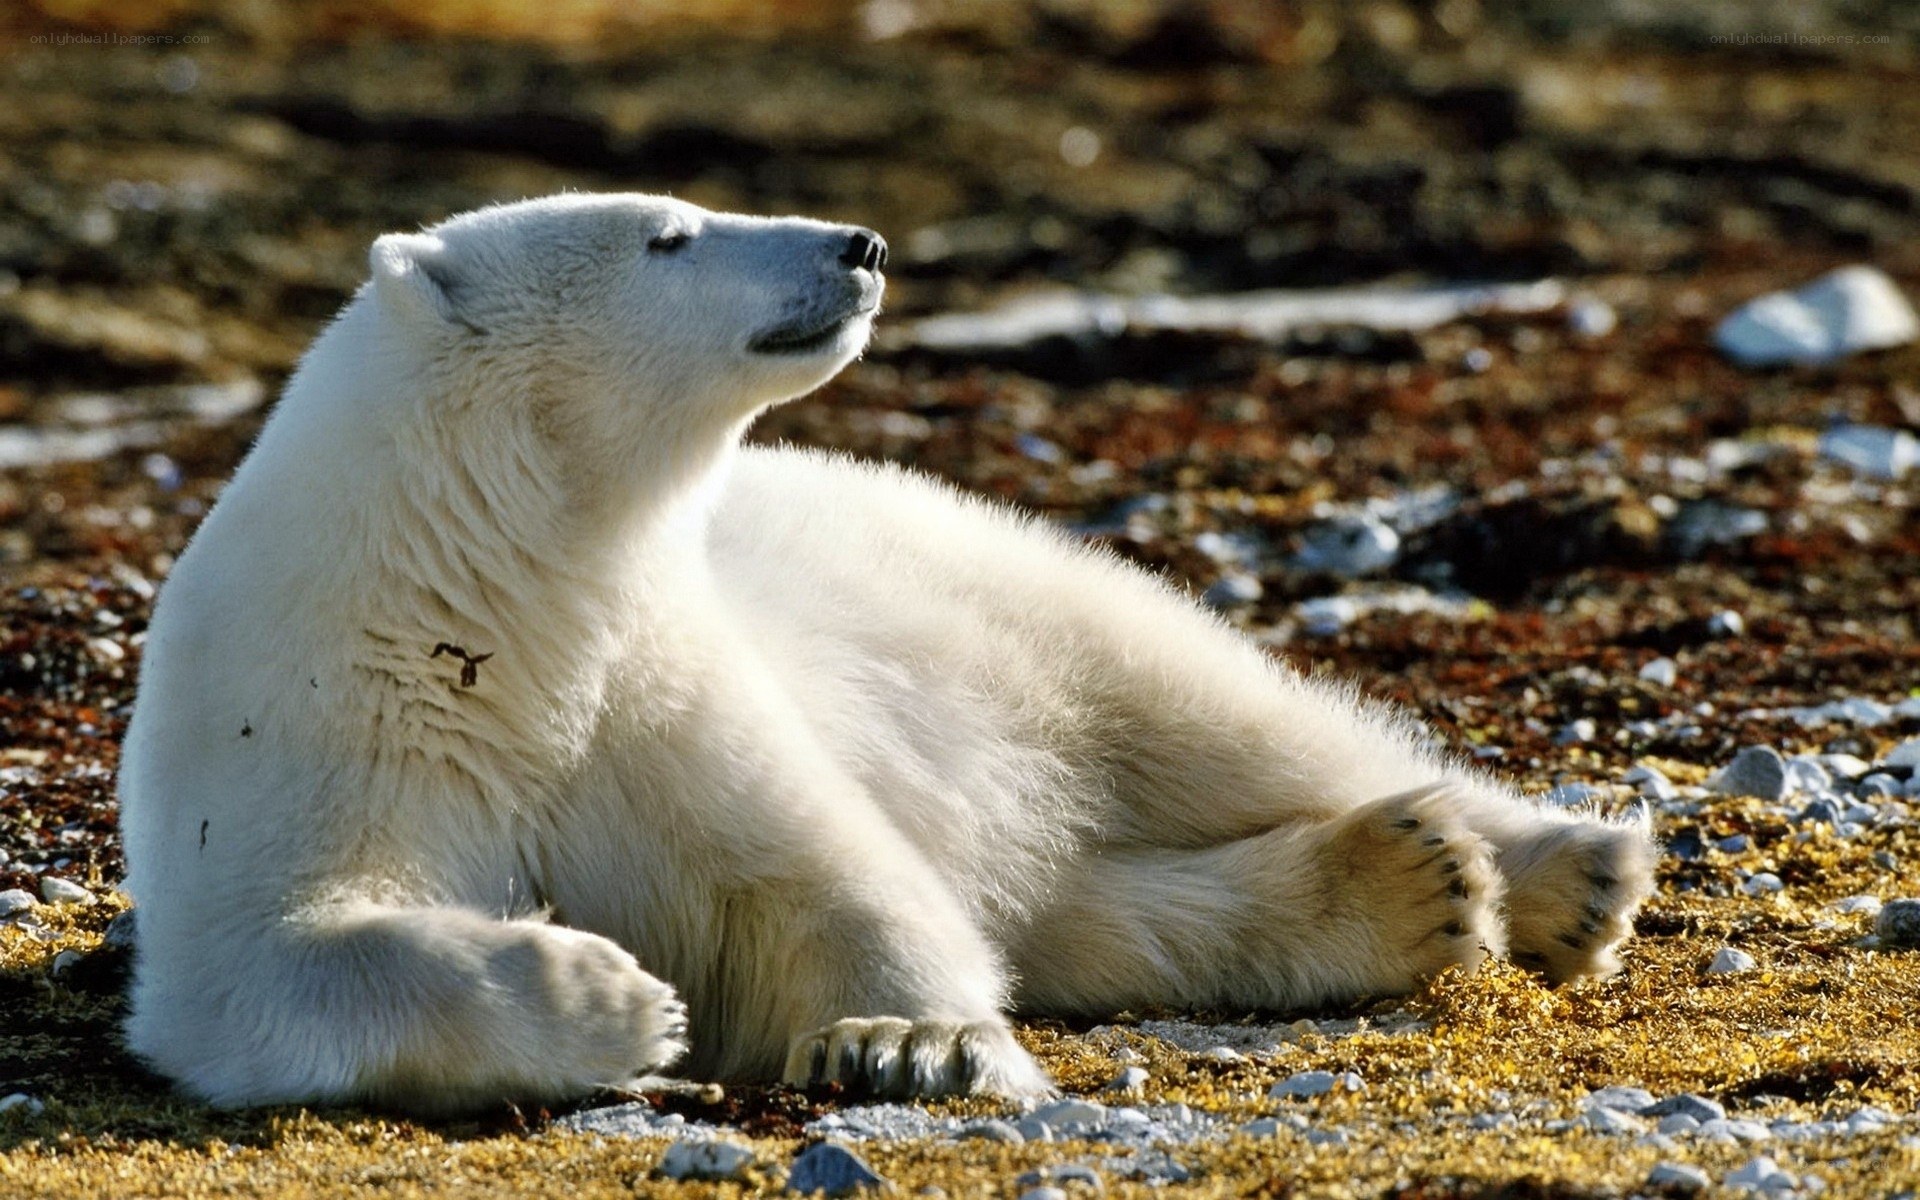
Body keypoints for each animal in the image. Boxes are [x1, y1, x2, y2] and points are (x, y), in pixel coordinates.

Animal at [118, 193, 1657, 1114]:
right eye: (668, 234)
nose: (857, 243)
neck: (492, 602)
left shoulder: (657, 689)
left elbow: (834, 878)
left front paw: (902, 1042)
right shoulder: (317, 724)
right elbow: (273, 961)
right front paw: (615, 996)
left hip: (999, 591)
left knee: (1215, 720)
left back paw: (1559, 867)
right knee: (1099, 908)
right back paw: (1406, 881)